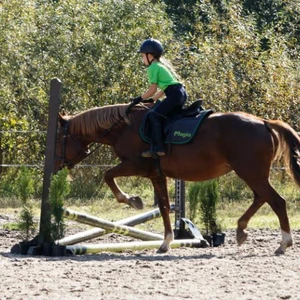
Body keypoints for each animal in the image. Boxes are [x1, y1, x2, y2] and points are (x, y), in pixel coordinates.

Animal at [54, 102, 300, 254]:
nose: (57, 166)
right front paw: (166, 242)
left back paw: (284, 243)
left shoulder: (135, 165)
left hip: (250, 172)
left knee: (276, 201)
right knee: (261, 198)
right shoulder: (156, 175)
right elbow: (163, 207)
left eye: (58, 140)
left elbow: (108, 175)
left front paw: (132, 200)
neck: (122, 127)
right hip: (252, 173)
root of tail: (264, 122)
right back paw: (241, 230)